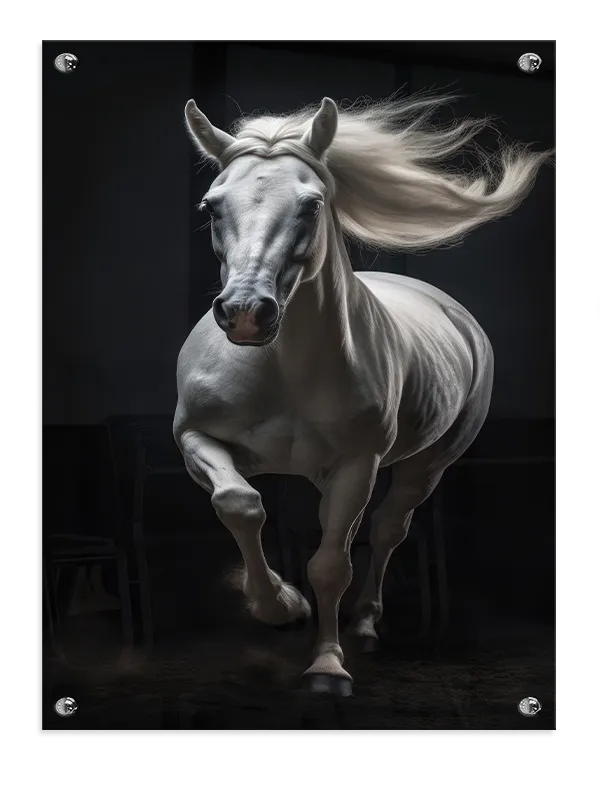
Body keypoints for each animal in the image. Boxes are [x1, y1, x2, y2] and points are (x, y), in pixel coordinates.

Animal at [174, 94, 550, 696]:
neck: (283, 368)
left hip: (426, 465)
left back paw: (367, 624)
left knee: (388, 529)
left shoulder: (356, 466)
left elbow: (332, 565)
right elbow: (239, 504)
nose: (247, 313)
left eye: (311, 205)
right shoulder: (197, 439)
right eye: (212, 205)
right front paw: (278, 605)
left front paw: (328, 667)